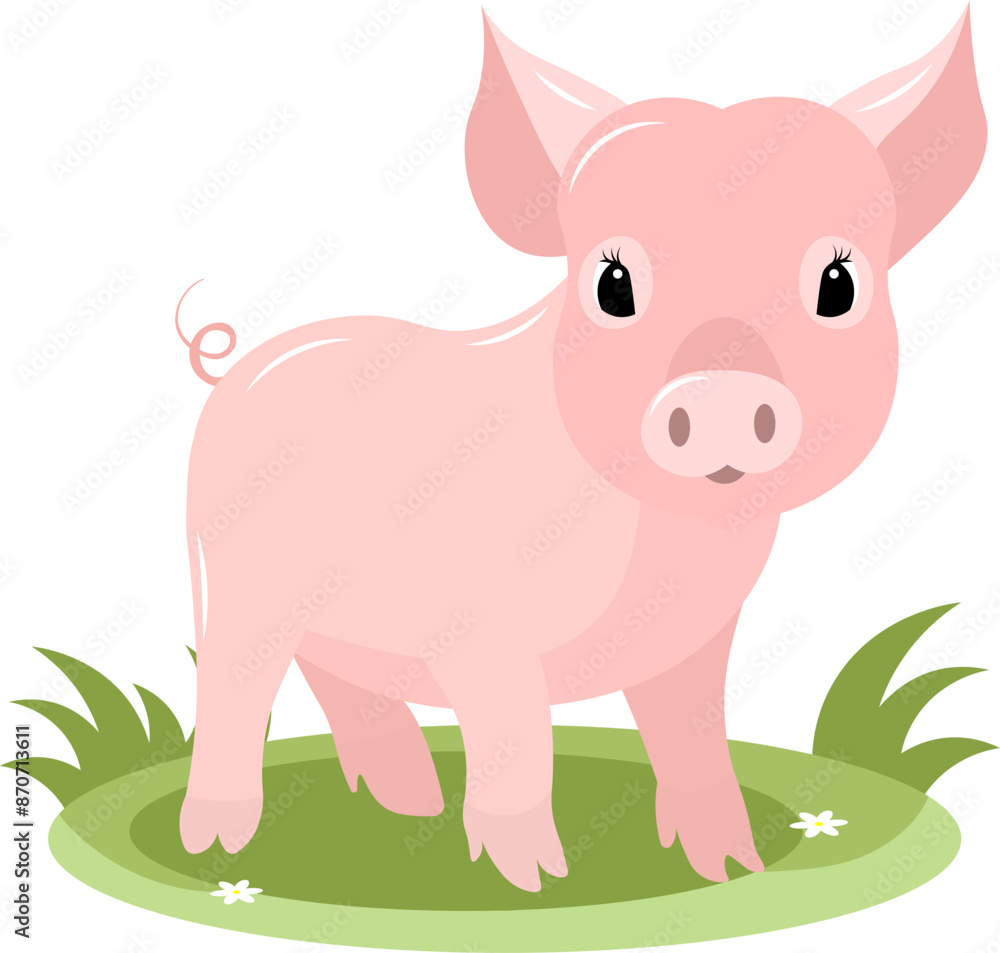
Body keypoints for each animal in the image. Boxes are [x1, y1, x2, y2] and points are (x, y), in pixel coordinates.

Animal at [176, 8, 986, 891]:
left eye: (838, 285)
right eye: (612, 284)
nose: (721, 393)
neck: (663, 543)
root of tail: (236, 370)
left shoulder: (698, 635)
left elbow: (695, 741)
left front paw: (730, 871)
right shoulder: (480, 620)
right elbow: (519, 742)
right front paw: (533, 882)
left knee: (333, 675)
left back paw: (411, 799)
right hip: (235, 572)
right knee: (234, 684)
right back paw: (218, 846)